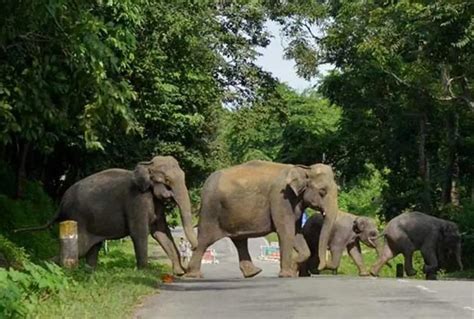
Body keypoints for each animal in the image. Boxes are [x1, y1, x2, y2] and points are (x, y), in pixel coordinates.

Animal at [14, 157, 196, 276]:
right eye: (167, 181)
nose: (188, 270)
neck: (147, 165)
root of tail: (61, 204)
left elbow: (161, 231)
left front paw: (179, 273)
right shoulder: (136, 200)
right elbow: (139, 233)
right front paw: (145, 272)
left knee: (92, 248)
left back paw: (89, 273)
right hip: (77, 218)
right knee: (80, 248)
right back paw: (38, 267)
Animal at [183, 161, 338, 278]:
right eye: (322, 191)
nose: (320, 267)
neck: (304, 168)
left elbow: (296, 233)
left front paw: (293, 267)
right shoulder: (280, 198)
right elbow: (286, 231)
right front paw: (287, 274)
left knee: (239, 240)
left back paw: (253, 273)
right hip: (211, 209)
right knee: (205, 240)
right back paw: (194, 275)